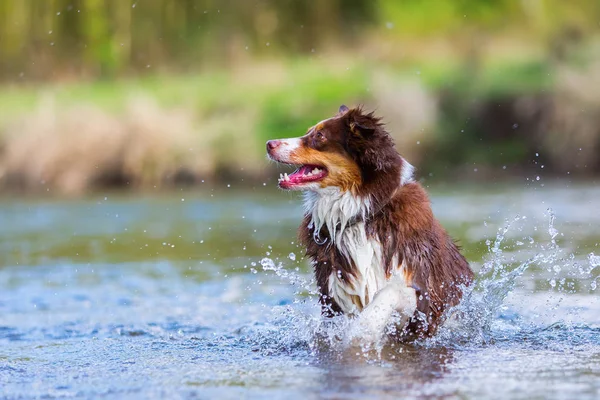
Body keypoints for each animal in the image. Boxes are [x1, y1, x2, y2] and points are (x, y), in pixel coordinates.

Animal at [268, 105, 474, 340]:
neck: (362, 216)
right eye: (309, 131)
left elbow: (388, 293)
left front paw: (361, 331)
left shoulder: (425, 299)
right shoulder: (334, 294)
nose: (269, 144)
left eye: (319, 136)